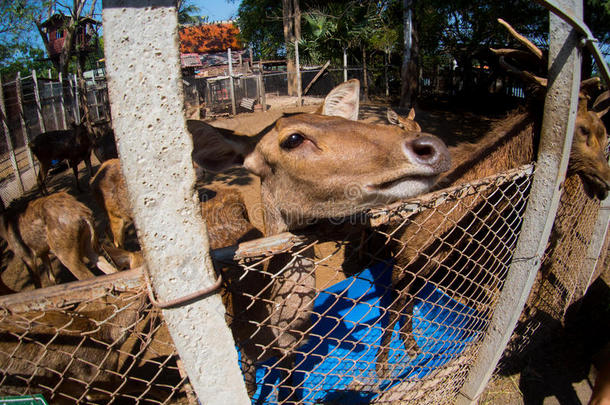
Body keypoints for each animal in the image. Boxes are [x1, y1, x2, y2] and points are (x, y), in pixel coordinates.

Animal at [370, 17, 608, 378]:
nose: (606, 182)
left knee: (408, 301)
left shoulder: (434, 259)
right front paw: (383, 365)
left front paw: (408, 348)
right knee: (397, 302)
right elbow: (394, 308)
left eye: (604, 131)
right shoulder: (409, 254)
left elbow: (409, 304)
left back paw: (411, 345)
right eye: (582, 129)